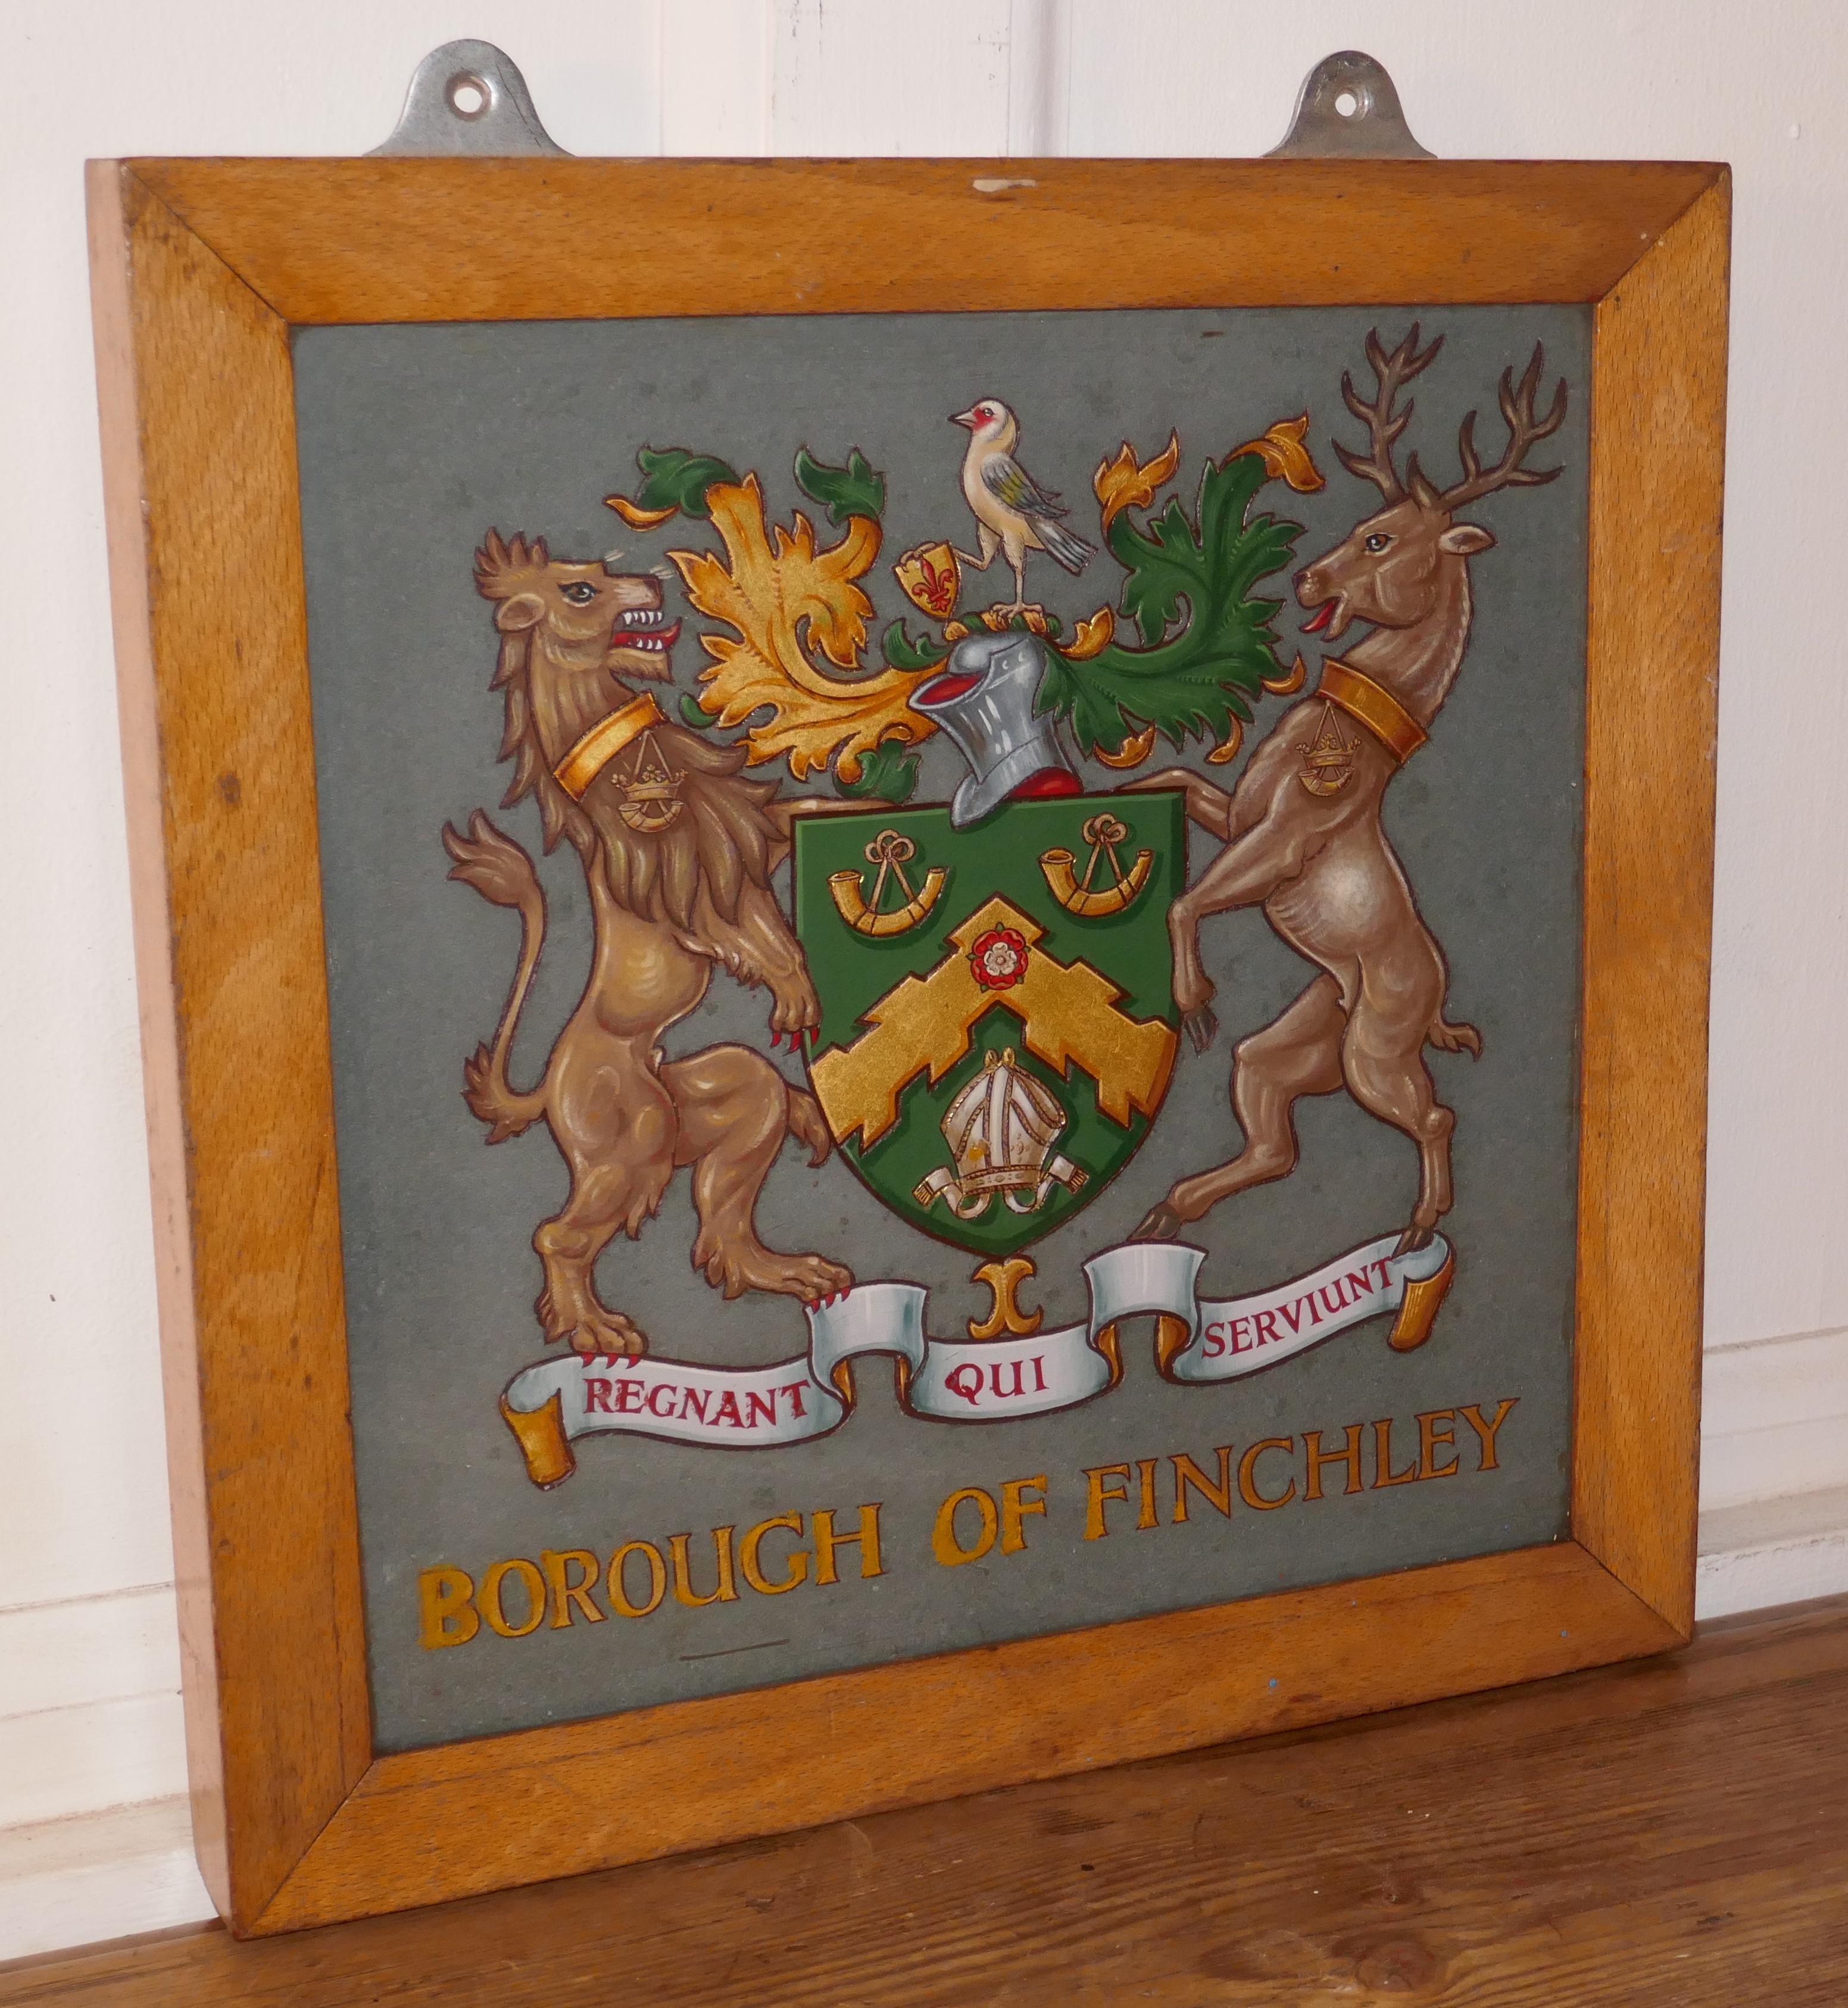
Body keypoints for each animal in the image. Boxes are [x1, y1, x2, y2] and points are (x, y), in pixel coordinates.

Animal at [444, 530, 856, 1365]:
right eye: (578, 591)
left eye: (595, 573)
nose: (650, 579)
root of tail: (550, 1088)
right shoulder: (690, 880)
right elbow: (760, 937)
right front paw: (796, 990)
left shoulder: (750, 834)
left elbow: (810, 809)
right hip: (631, 1138)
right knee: (556, 1236)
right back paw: (595, 1326)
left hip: (704, 1101)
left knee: (731, 1195)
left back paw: (789, 1258)